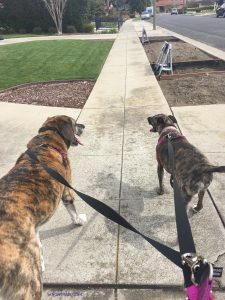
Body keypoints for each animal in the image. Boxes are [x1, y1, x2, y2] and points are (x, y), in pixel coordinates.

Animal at [0, 116, 86, 300]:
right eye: (74, 123)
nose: (83, 125)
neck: (47, 143)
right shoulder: (66, 191)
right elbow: (72, 210)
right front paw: (78, 220)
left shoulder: (33, 224)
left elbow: (38, 240)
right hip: (28, 284)